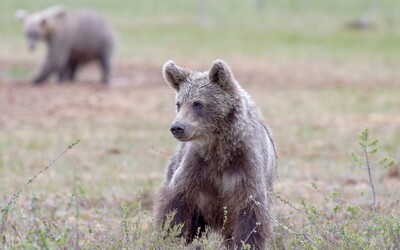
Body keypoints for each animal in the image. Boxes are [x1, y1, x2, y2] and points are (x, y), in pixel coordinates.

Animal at [155, 59, 276, 249]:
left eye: (198, 103)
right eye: (179, 103)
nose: (177, 127)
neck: (219, 148)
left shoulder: (246, 167)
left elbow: (251, 217)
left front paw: (247, 243)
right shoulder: (196, 168)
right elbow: (175, 208)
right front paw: (171, 237)